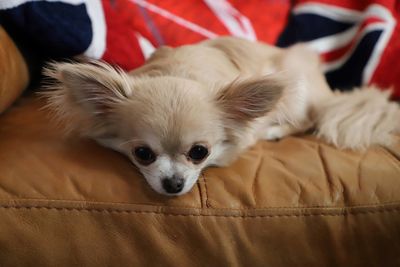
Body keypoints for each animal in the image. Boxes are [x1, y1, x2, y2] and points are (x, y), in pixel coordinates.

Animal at [43, 37, 400, 197]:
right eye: (142, 154)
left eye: (199, 152)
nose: (173, 184)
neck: (181, 69)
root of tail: (327, 91)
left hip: (296, 90)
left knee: (308, 120)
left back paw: (274, 131)